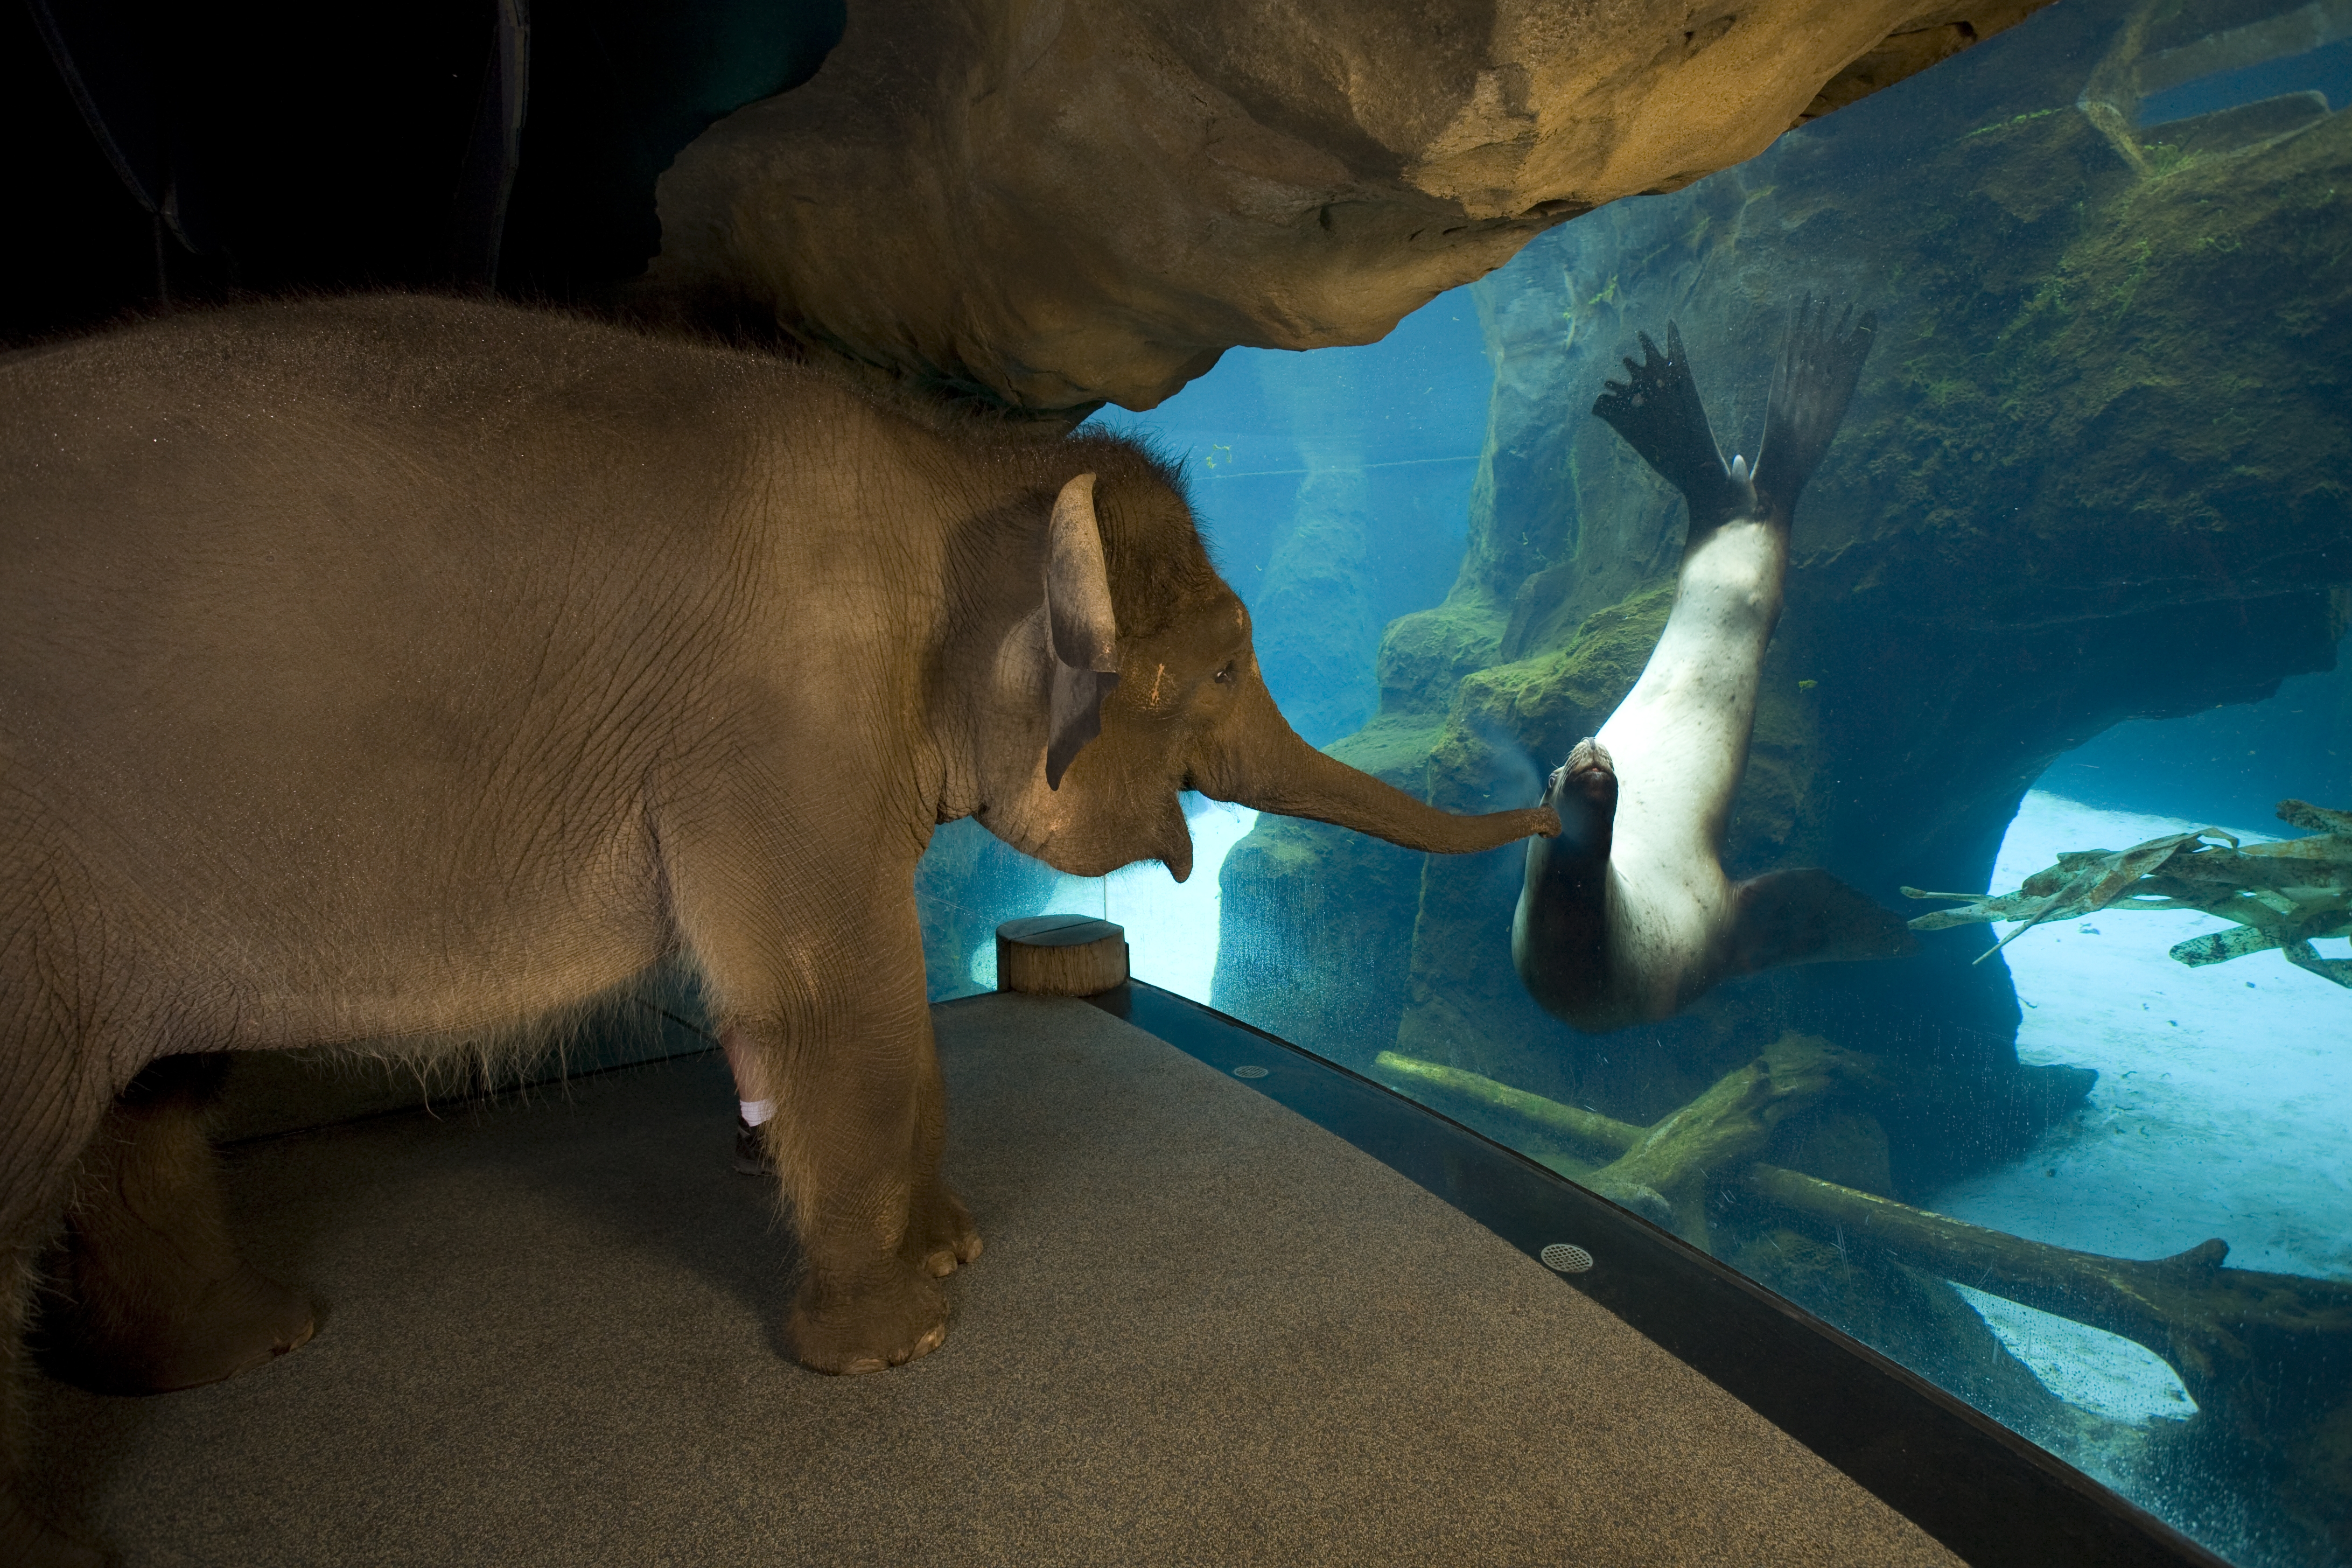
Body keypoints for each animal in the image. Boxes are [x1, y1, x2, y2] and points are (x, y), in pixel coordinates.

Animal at [0, 297, 1552, 1568]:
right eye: (1228, 666)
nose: (1566, 793)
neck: (955, 463)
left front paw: (950, 1251)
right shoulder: (778, 718)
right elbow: (832, 999)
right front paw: (894, 1345)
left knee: (147, 1097)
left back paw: (242, 1347)